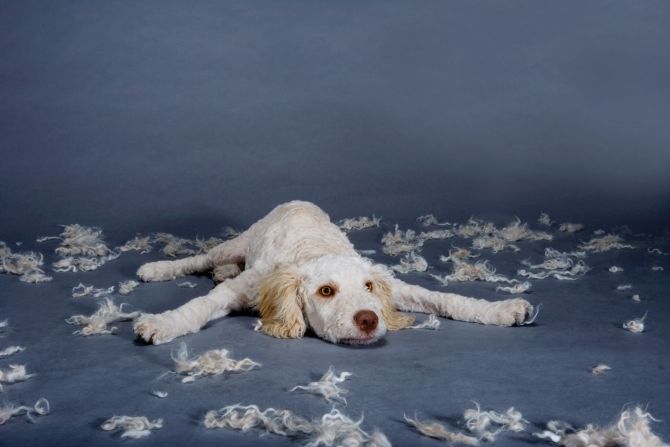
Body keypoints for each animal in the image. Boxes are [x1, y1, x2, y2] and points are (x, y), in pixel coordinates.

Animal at [135, 202, 536, 346]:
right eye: (325, 291)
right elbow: (199, 306)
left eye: (369, 287)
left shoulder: (396, 288)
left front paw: (499, 310)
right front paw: (162, 323)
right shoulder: (244, 288)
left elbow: (443, 297)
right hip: (241, 241)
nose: (369, 320)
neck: (315, 251)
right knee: (203, 257)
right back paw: (159, 268)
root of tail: (295, 201)